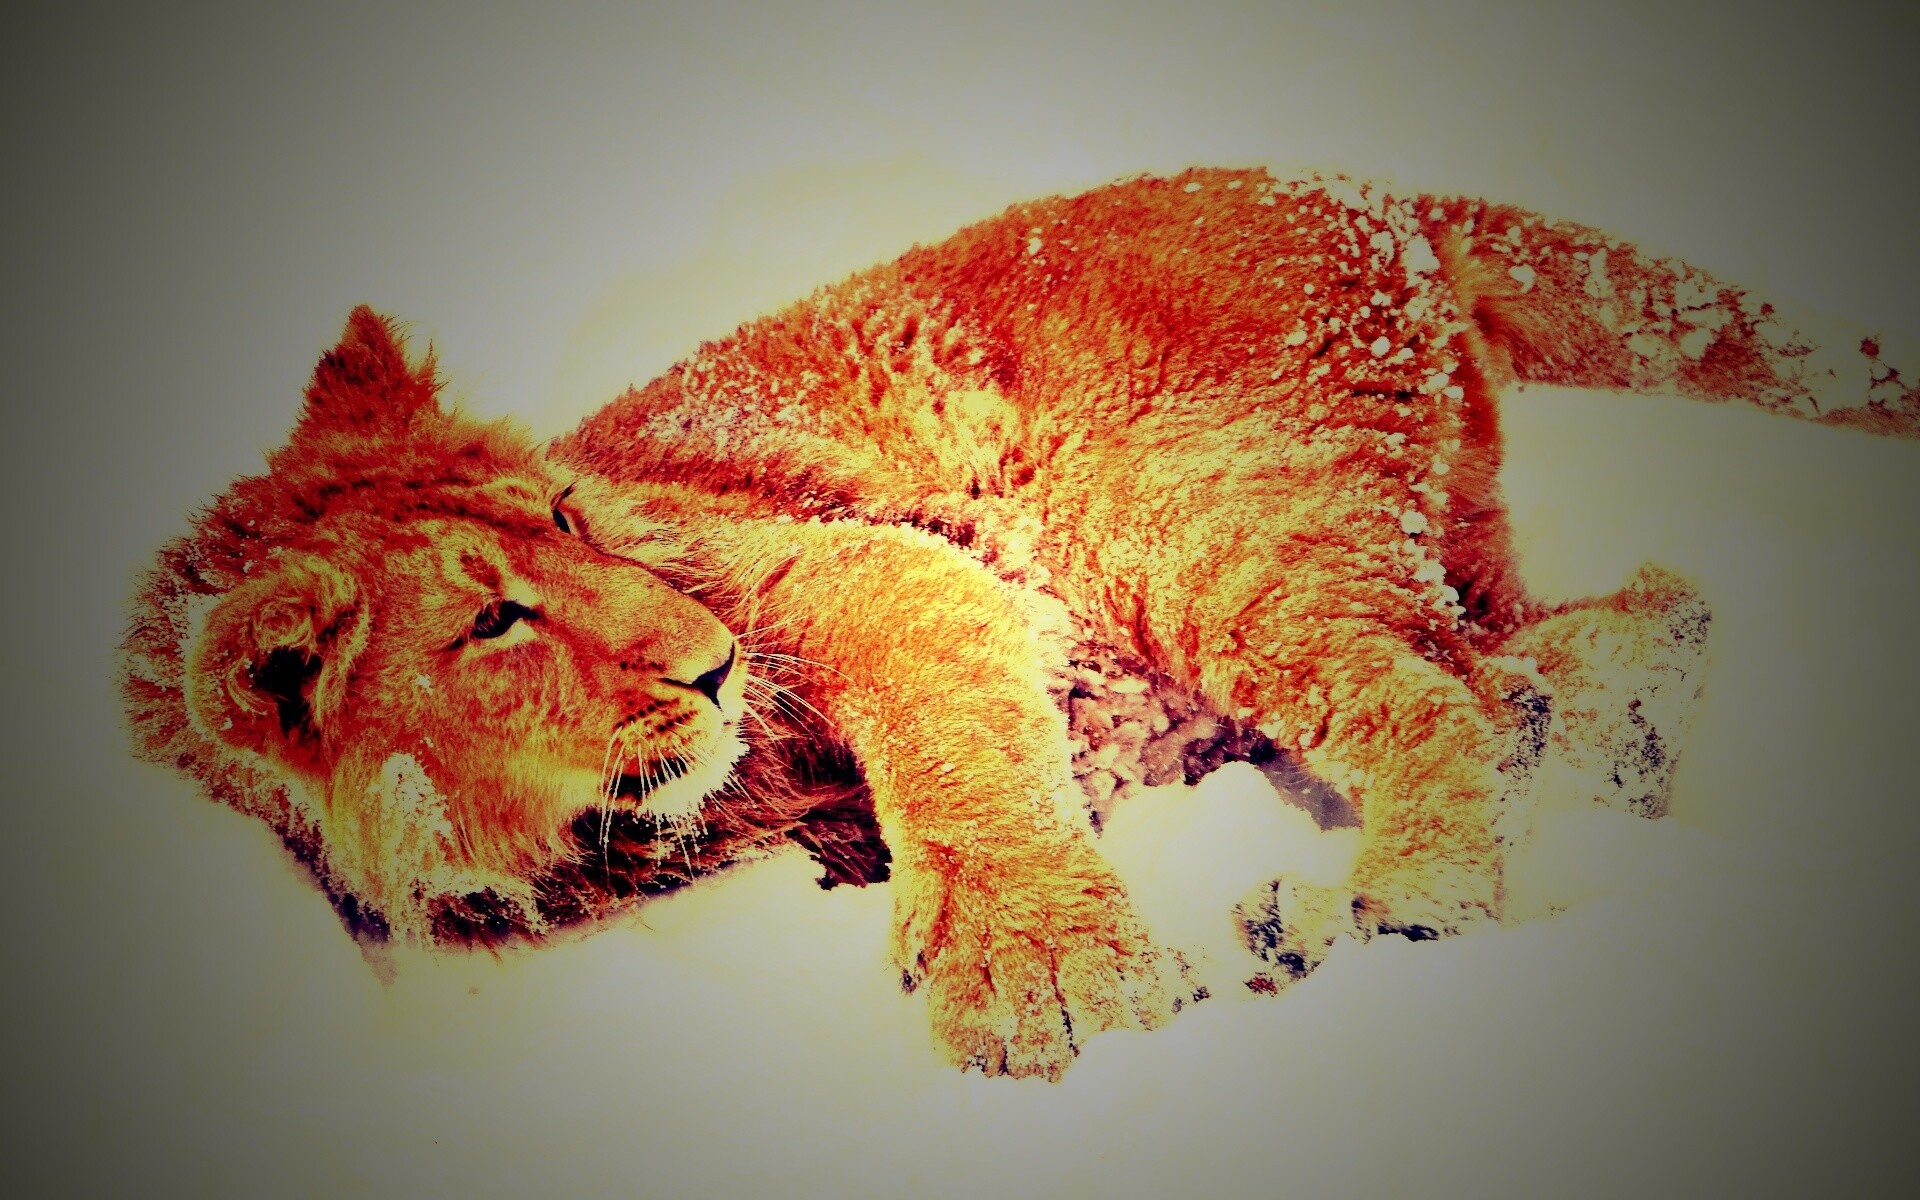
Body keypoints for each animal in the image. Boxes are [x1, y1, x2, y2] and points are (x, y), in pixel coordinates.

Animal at [122, 167, 1920, 1079]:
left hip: (1178, 525)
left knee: (1442, 699)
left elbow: (949, 744)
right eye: (492, 624)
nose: (708, 660)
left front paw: (1045, 975)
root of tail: (1356, 181)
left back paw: (1390, 906)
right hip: (1408, 545)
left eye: (565, 522)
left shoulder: (856, 566)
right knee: (1617, 627)